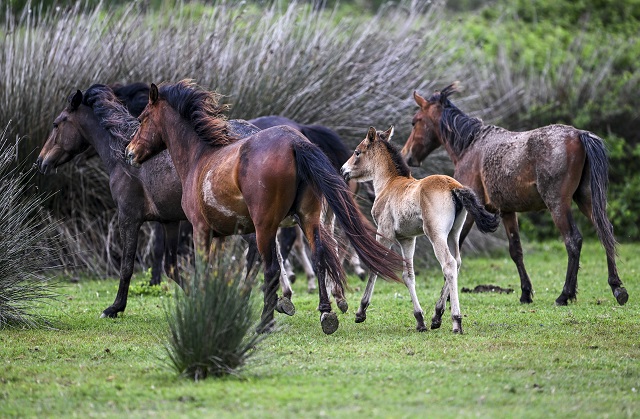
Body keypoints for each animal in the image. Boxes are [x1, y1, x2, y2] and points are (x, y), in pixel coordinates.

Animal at [36, 83, 266, 320]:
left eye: (56, 124)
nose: (40, 161)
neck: (122, 156)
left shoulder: (128, 218)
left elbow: (127, 265)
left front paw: (115, 307)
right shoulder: (170, 222)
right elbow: (170, 266)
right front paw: (197, 296)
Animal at [123, 79, 402, 334]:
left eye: (142, 119)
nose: (129, 152)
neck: (200, 157)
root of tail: (294, 141)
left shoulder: (201, 229)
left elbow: (205, 270)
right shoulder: (221, 234)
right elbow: (216, 271)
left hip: (265, 227)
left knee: (272, 269)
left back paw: (265, 322)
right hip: (308, 219)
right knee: (319, 256)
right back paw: (326, 313)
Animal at [340, 126, 500, 334]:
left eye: (357, 152)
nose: (343, 170)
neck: (390, 183)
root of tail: (453, 186)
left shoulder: (385, 233)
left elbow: (375, 266)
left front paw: (361, 312)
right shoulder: (407, 239)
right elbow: (408, 275)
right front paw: (420, 319)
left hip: (436, 235)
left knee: (448, 264)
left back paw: (456, 321)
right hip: (454, 234)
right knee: (457, 262)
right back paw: (436, 316)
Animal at [402, 82, 628, 306]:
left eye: (414, 122)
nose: (407, 156)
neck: (470, 145)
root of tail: (579, 134)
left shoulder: (468, 213)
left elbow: (454, 252)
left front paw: (447, 296)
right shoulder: (507, 212)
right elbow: (516, 251)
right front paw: (526, 293)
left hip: (558, 204)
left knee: (573, 241)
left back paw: (565, 295)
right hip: (585, 200)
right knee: (604, 231)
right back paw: (617, 288)